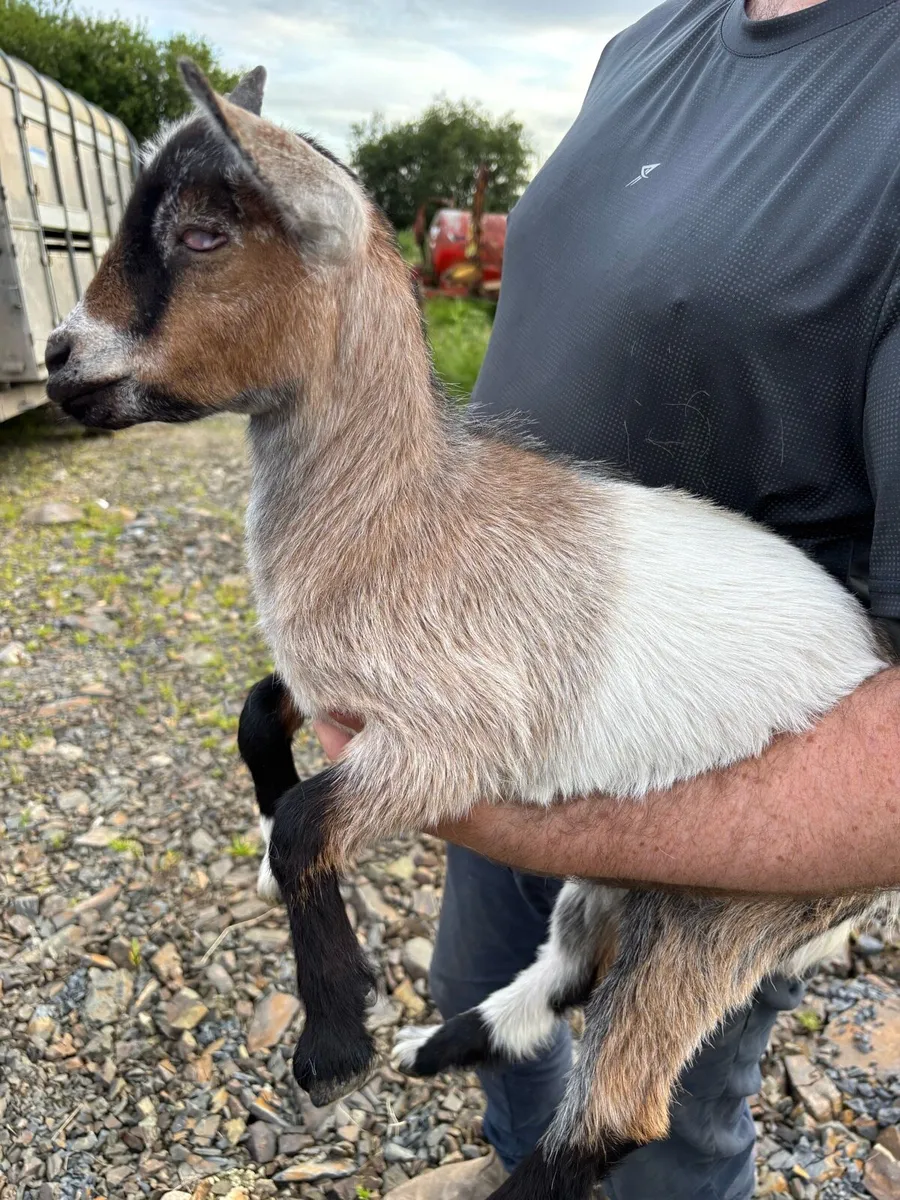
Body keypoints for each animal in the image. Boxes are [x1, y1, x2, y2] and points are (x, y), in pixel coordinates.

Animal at [44, 62, 899, 1200]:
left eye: (202, 234)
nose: (58, 356)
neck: (402, 519)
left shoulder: (454, 743)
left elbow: (310, 817)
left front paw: (331, 1046)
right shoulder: (335, 688)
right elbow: (257, 718)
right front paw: (278, 883)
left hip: (731, 905)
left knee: (620, 1106)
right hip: (637, 880)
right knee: (573, 967)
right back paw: (434, 1046)